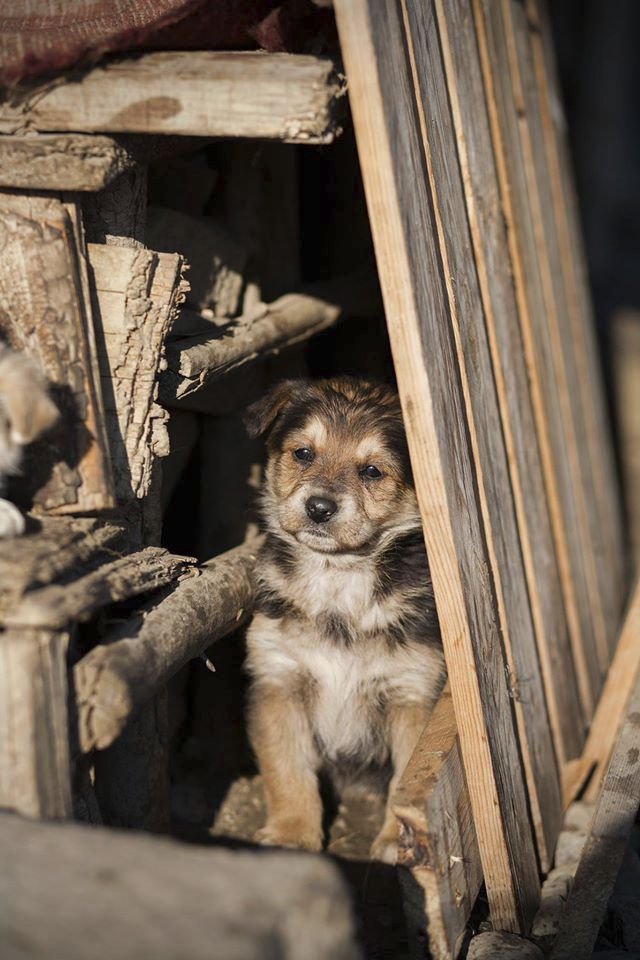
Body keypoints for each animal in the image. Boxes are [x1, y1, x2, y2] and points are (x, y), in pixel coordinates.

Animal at [245, 376, 444, 864]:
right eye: (303, 454)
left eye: (371, 471)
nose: (319, 508)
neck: (337, 580)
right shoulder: (278, 680)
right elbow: (287, 767)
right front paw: (292, 834)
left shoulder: (412, 693)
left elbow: (404, 779)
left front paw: (393, 840)